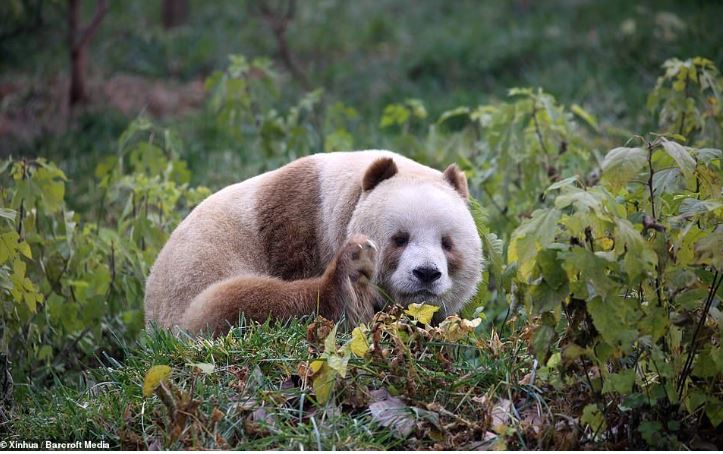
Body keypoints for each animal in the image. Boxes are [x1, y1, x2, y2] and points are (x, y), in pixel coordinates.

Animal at [144, 151, 484, 336]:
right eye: (400, 238)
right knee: (234, 304)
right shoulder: (298, 223)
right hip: (191, 290)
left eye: (447, 243)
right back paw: (347, 285)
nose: (426, 273)